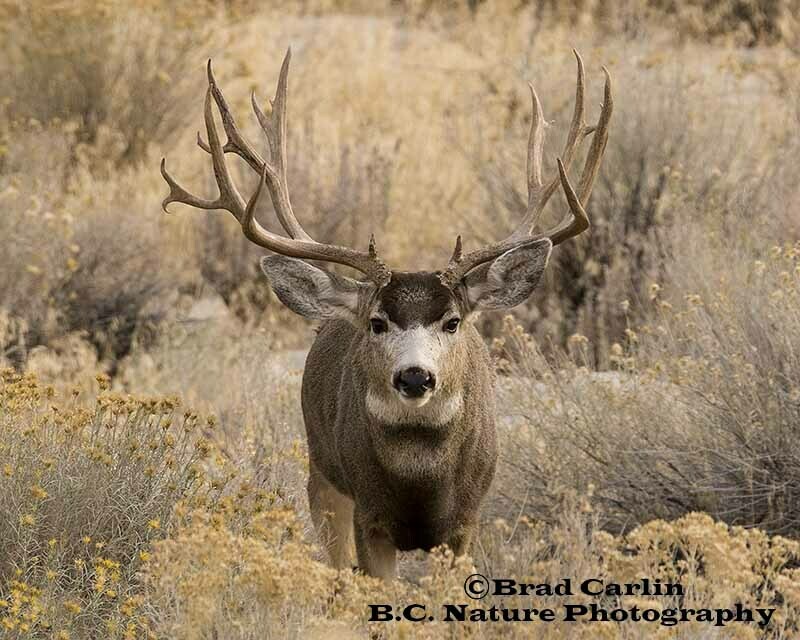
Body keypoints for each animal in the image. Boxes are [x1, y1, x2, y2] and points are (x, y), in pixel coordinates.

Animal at [160, 48, 612, 580]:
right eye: (377, 322)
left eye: (452, 322)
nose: (415, 376)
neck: (420, 481)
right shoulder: (368, 516)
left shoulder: (465, 522)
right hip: (321, 474)